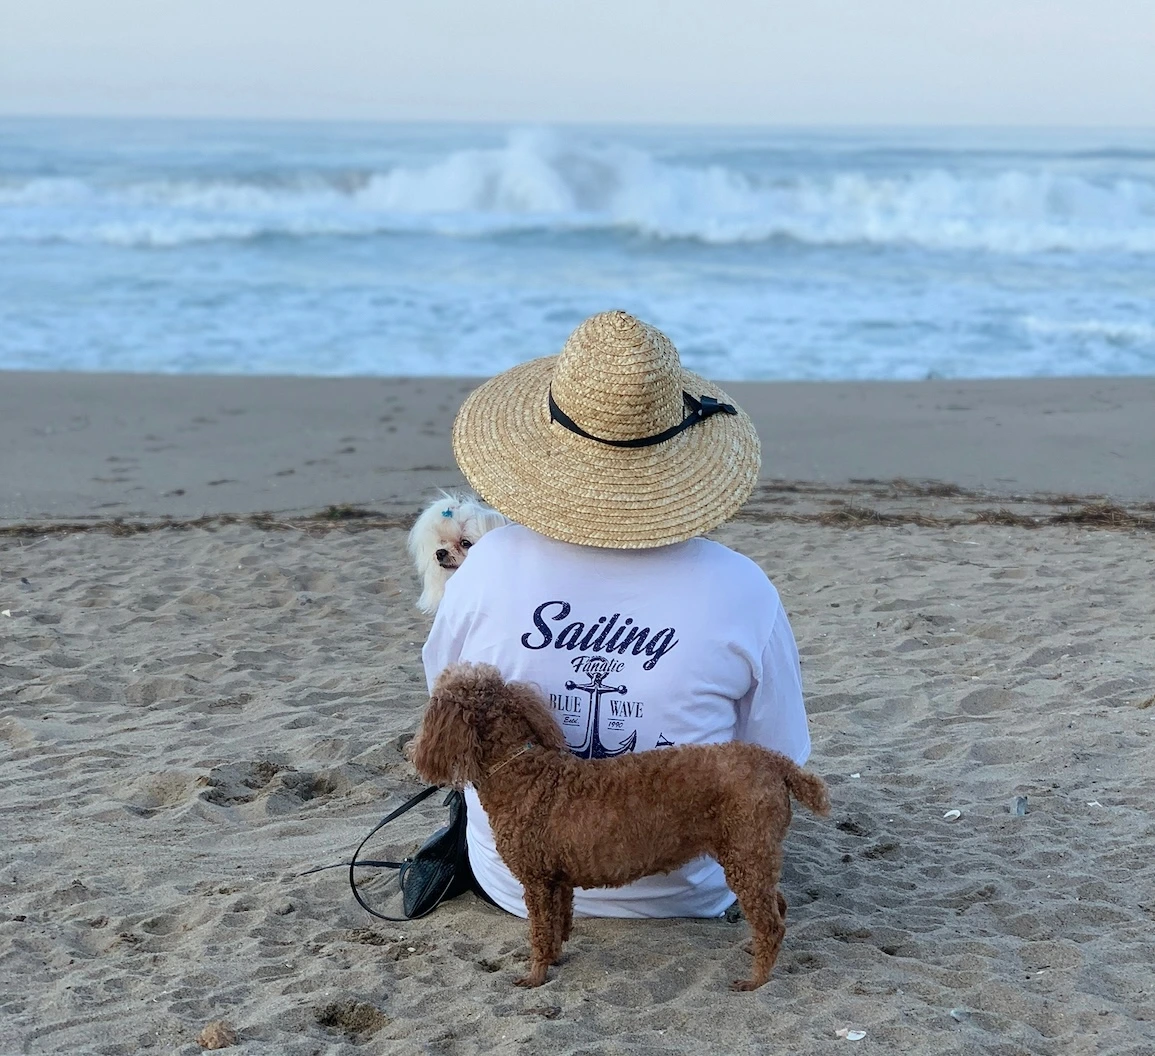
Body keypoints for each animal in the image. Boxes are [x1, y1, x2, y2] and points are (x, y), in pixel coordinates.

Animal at [411, 662, 830, 991]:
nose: (411, 749)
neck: (522, 771)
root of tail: (775, 763)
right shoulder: (557, 878)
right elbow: (558, 924)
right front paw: (556, 959)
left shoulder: (537, 879)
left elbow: (540, 930)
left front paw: (534, 976)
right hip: (754, 853)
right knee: (777, 906)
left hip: (746, 851)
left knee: (770, 922)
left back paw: (756, 979)